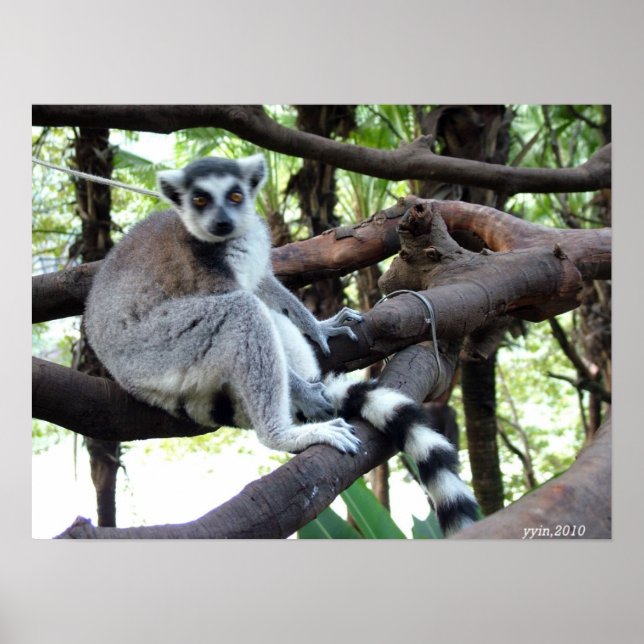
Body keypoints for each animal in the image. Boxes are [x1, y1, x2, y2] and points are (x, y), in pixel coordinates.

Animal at [84, 153, 479, 536]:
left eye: (235, 196)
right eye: (199, 199)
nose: (222, 223)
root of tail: (118, 370)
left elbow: (264, 284)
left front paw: (320, 327)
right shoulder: (202, 268)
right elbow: (245, 298)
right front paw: (303, 391)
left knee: (267, 319)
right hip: (157, 347)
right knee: (243, 313)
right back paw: (285, 434)